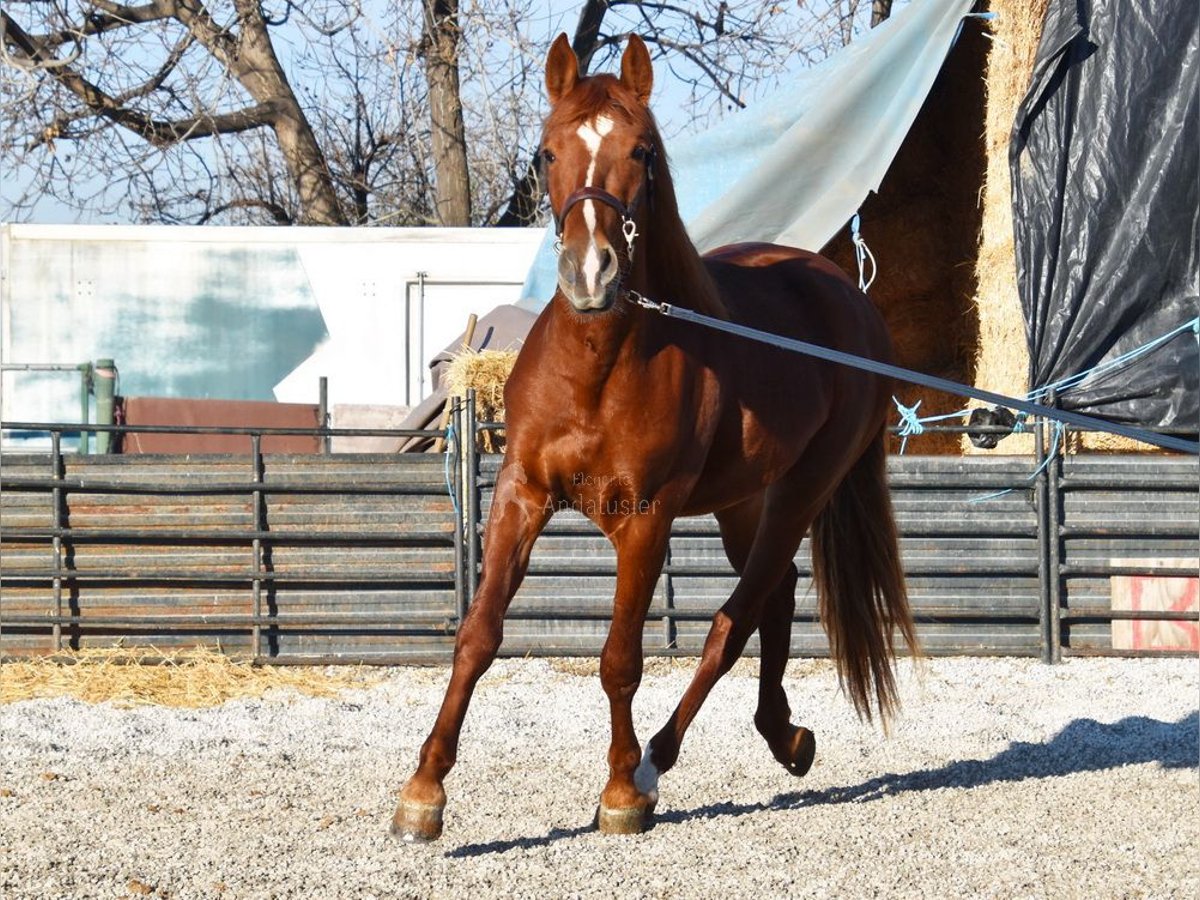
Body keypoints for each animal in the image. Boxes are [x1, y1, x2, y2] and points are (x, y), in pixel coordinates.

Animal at [391, 31, 907, 844]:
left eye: (642, 152)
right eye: (545, 152)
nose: (590, 271)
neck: (597, 366)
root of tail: (847, 298)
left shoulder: (645, 519)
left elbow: (620, 659)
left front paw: (618, 792)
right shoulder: (519, 495)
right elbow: (478, 635)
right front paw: (423, 793)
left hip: (801, 492)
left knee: (734, 621)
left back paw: (656, 764)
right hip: (743, 502)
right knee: (776, 596)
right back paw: (785, 737)